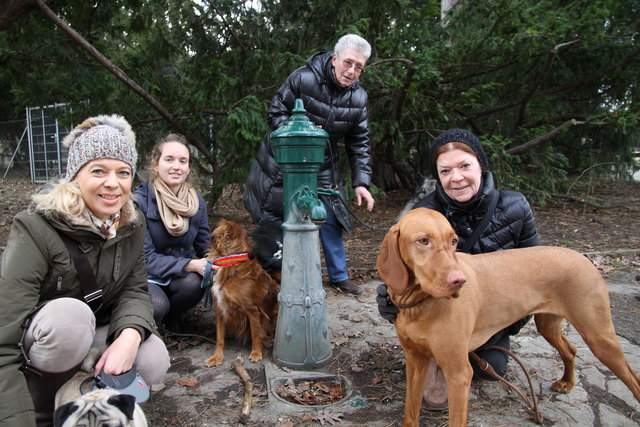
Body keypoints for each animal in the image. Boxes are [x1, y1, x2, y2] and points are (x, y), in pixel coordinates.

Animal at [202, 221, 278, 368]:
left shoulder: (252, 309)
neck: (231, 263)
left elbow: (255, 333)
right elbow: (219, 337)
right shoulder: (220, 308)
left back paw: (266, 341)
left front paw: (256, 353)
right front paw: (216, 357)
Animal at [378, 209, 640, 426]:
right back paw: (567, 382)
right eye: (423, 241)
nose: (459, 281)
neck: (418, 304)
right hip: (548, 325)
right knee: (571, 349)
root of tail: (583, 257)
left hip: (599, 336)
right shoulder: (415, 360)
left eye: (453, 241)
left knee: (632, 378)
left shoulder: (459, 374)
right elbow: (410, 411)